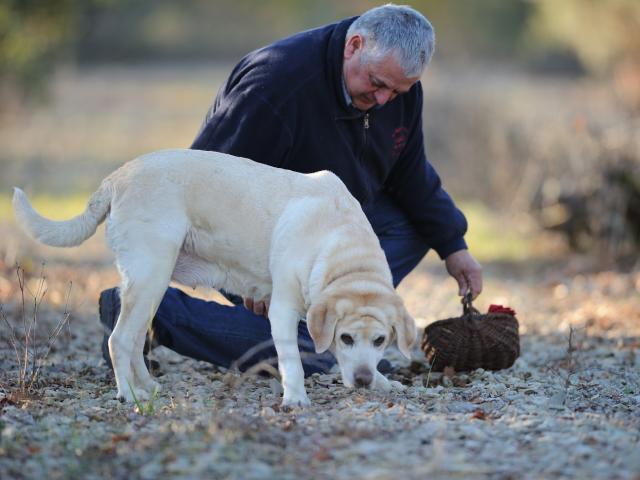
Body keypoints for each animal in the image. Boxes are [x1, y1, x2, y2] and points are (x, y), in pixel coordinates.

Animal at [13, 148, 420, 406]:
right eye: (347, 337)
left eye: (380, 340)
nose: (363, 381)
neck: (343, 251)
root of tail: (116, 178)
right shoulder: (283, 311)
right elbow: (292, 359)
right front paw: (296, 398)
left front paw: (383, 382)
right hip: (150, 275)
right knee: (119, 340)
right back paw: (129, 395)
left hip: (152, 285)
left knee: (133, 340)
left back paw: (148, 386)